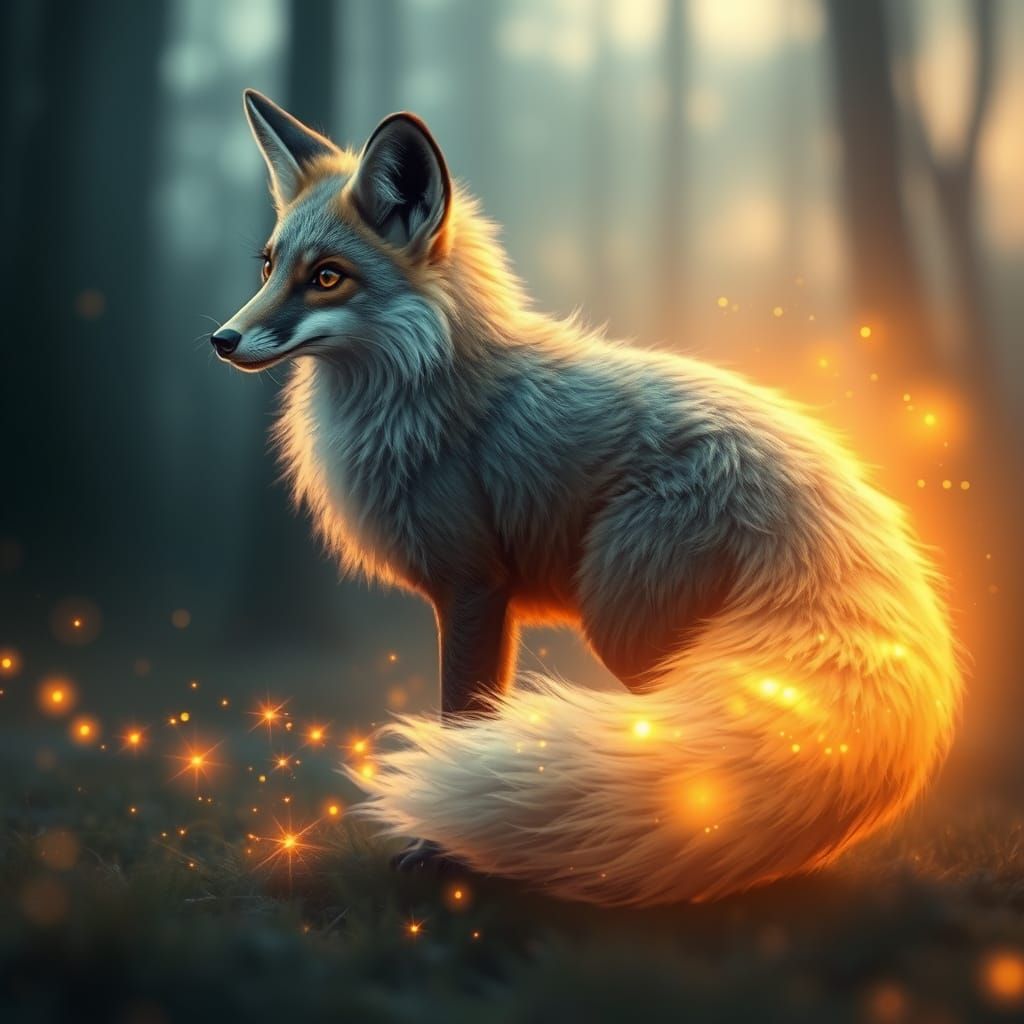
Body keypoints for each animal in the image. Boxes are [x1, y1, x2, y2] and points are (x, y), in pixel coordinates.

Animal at [211, 89, 962, 907]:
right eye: (269, 265)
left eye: (327, 277)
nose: (222, 338)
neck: (429, 392)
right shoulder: (489, 598)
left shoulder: (473, 588)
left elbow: (462, 717)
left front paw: (440, 849)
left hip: (629, 628)